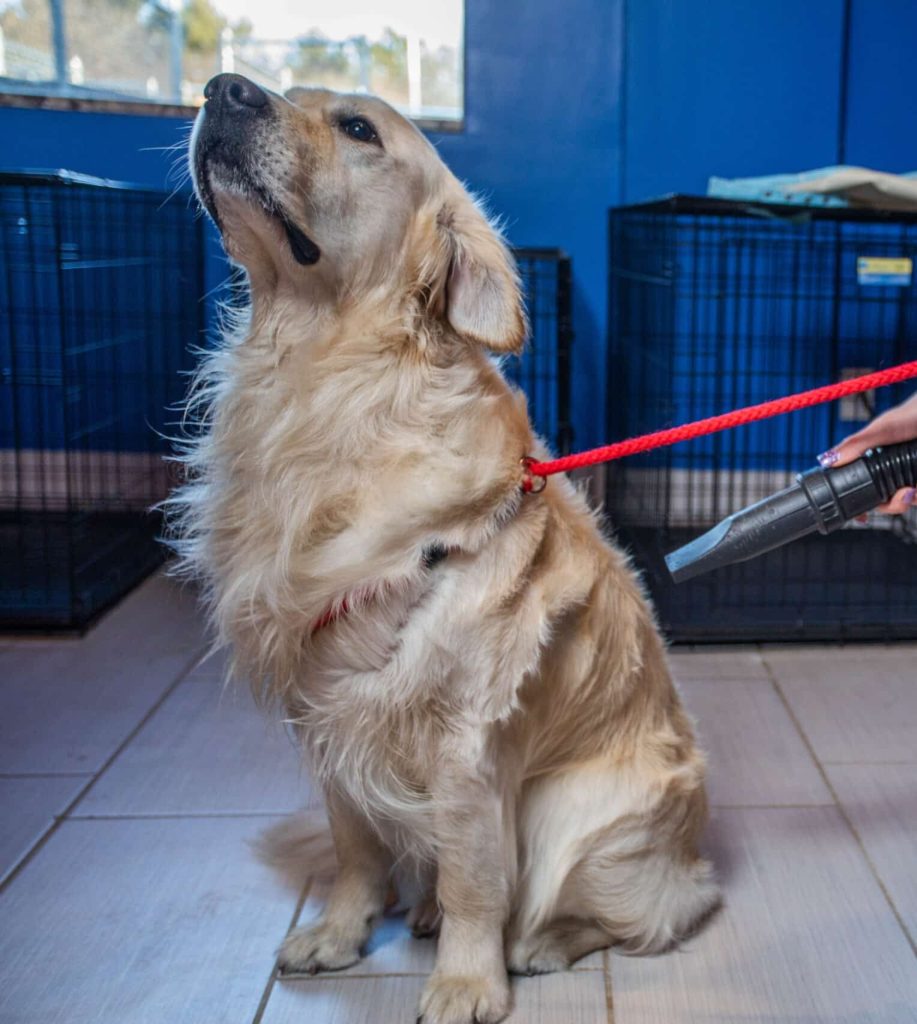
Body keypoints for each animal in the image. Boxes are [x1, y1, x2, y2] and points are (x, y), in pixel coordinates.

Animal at [173, 72, 719, 1024]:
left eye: (359, 128)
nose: (221, 88)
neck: (323, 383)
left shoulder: (465, 738)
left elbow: (473, 880)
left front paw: (466, 983)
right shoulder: (330, 714)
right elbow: (353, 847)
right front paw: (340, 932)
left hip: (578, 813)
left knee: (640, 914)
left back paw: (536, 944)